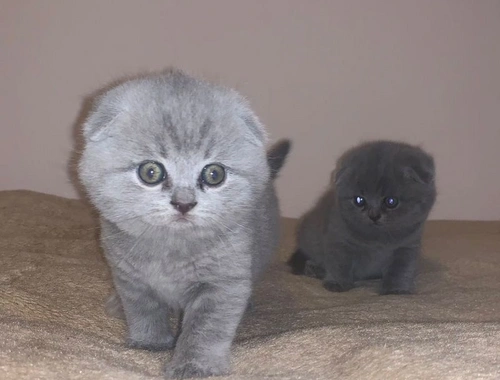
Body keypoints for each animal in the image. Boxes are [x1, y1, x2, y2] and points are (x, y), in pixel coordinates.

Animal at [77, 70, 290, 378]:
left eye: (214, 174)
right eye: (150, 172)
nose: (184, 203)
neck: (170, 249)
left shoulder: (223, 281)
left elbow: (205, 328)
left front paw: (194, 365)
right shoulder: (128, 276)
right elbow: (143, 308)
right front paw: (150, 342)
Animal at [288, 141, 436, 296]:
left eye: (391, 201)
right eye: (359, 200)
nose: (374, 215)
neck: (378, 241)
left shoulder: (407, 246)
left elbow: (400, 270)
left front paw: (395, 290)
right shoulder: (338, 239)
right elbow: (339, 264)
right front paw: (337, 283)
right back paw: (315, 269)